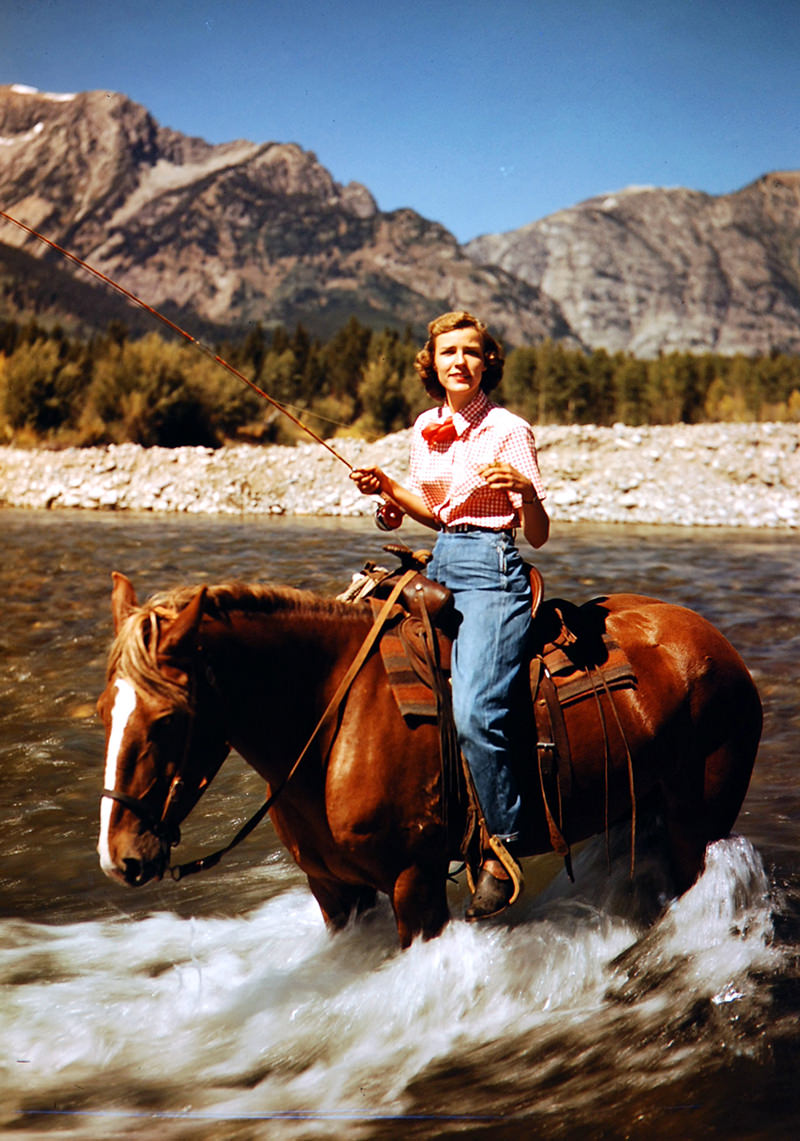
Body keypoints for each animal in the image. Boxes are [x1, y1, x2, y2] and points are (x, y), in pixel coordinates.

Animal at [97, 575, 757, 949]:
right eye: (104, 709)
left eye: (168, 719)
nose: (119, 857)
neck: (334, 719)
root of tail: (719, 644)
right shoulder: (333, 890)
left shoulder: (413, 881)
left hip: (698, 822)